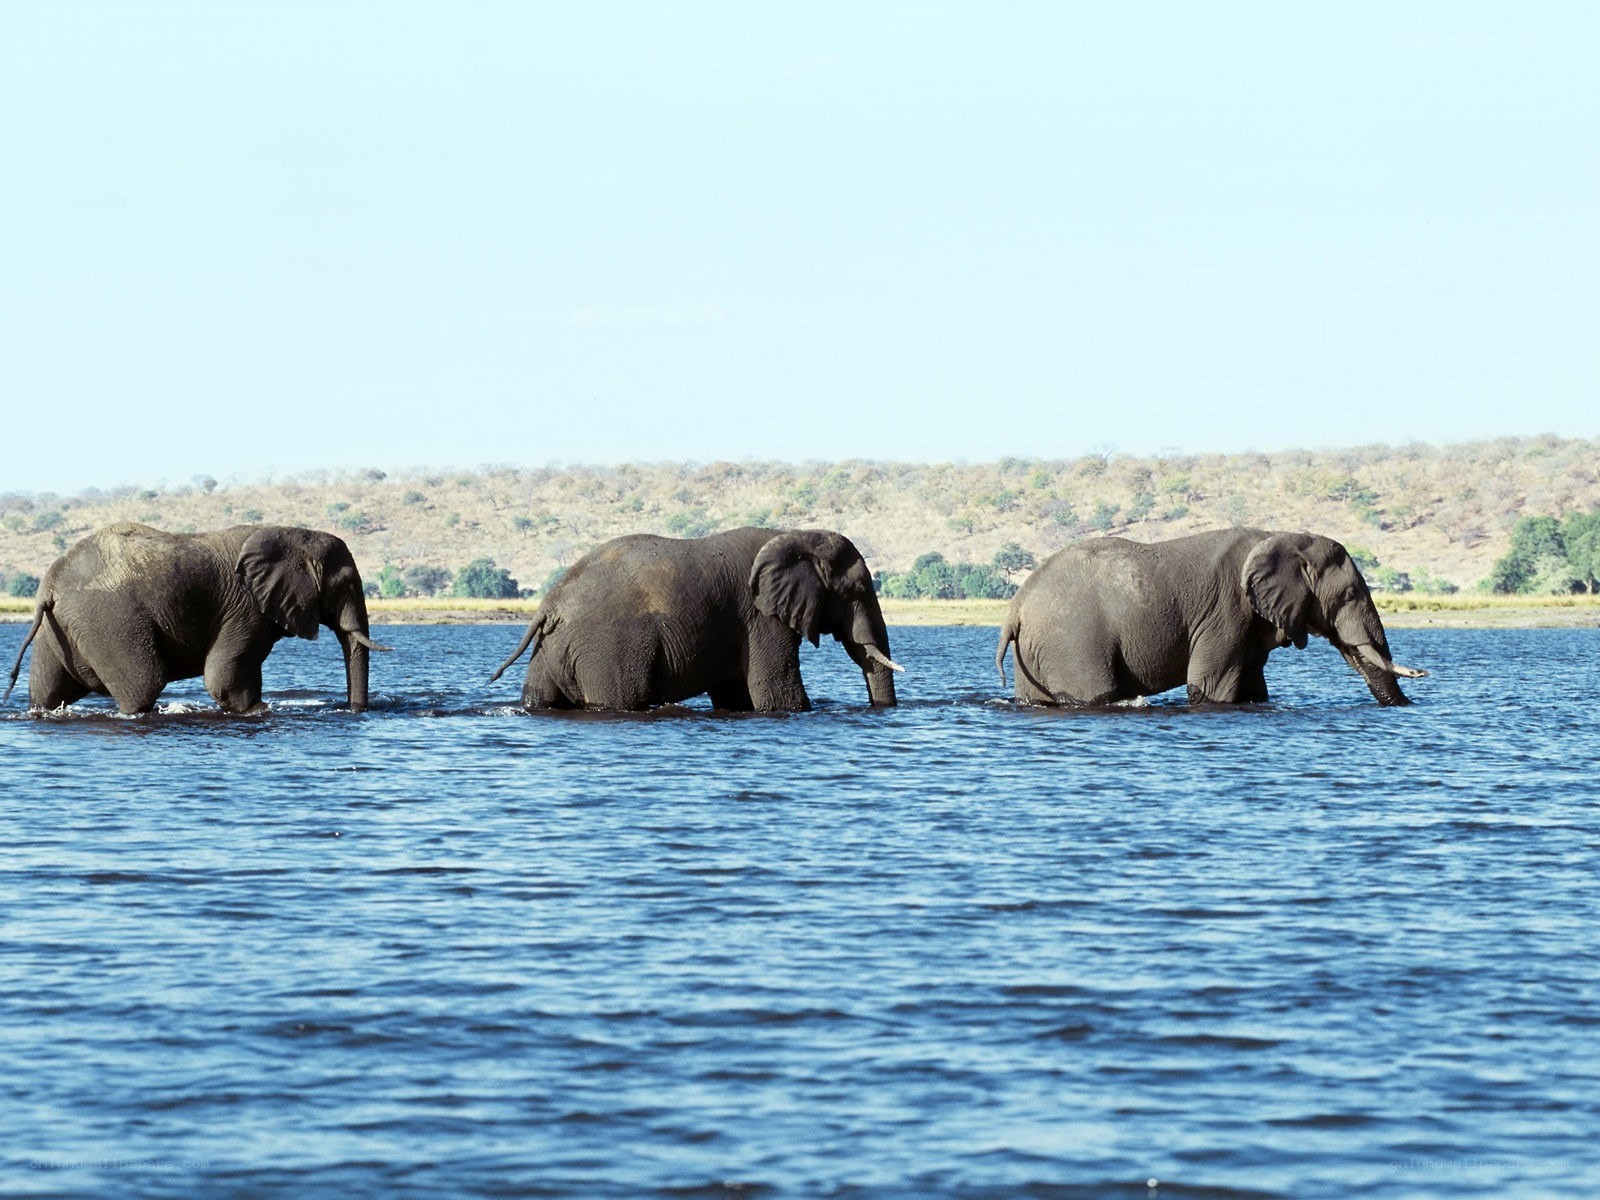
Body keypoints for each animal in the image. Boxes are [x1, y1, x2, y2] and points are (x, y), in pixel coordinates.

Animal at [5, 523, 390, 714]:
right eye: (345, 584)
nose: (356, 711)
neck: (293, 533)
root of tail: (51, 581)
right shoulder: (246, 607)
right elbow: (224, 677)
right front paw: (261, 711)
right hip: (108, 620)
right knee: (145, 683)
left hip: (60, 628)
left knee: (48, 692)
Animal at [490, 527, 901, 711]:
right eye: (859, 588)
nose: (879, 710)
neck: (797, 535)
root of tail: (550, 605)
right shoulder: (760, 617)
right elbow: (776, 691)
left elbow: (737, 696)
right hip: (606, 651)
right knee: (622, 698)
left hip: (551, 651)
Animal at [995, 528, 1426, 707]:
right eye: (1350, 594)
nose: (1407, 706)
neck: (1285, 537)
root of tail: (1016, 609)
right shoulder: (1227, 612)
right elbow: (1212, 687)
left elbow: (1253, 687)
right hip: (1072, 641)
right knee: (1095, 693)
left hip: (1038, 649)